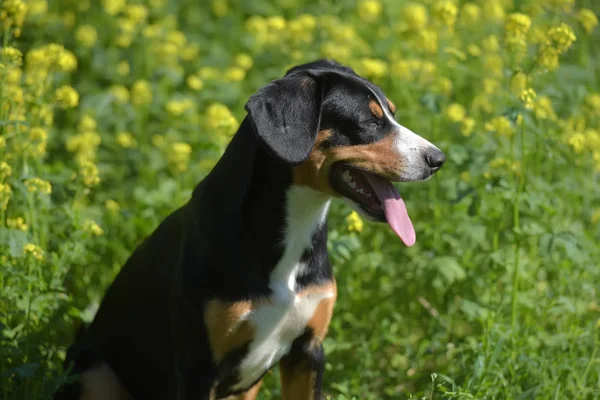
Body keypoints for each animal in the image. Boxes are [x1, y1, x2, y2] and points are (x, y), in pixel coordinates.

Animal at [55, 59, 446, 400]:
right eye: (369, 120)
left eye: (392, 113)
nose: (438, 159)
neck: (292, 231)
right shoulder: (198, 367)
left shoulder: (308, 352)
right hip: (94, 372)